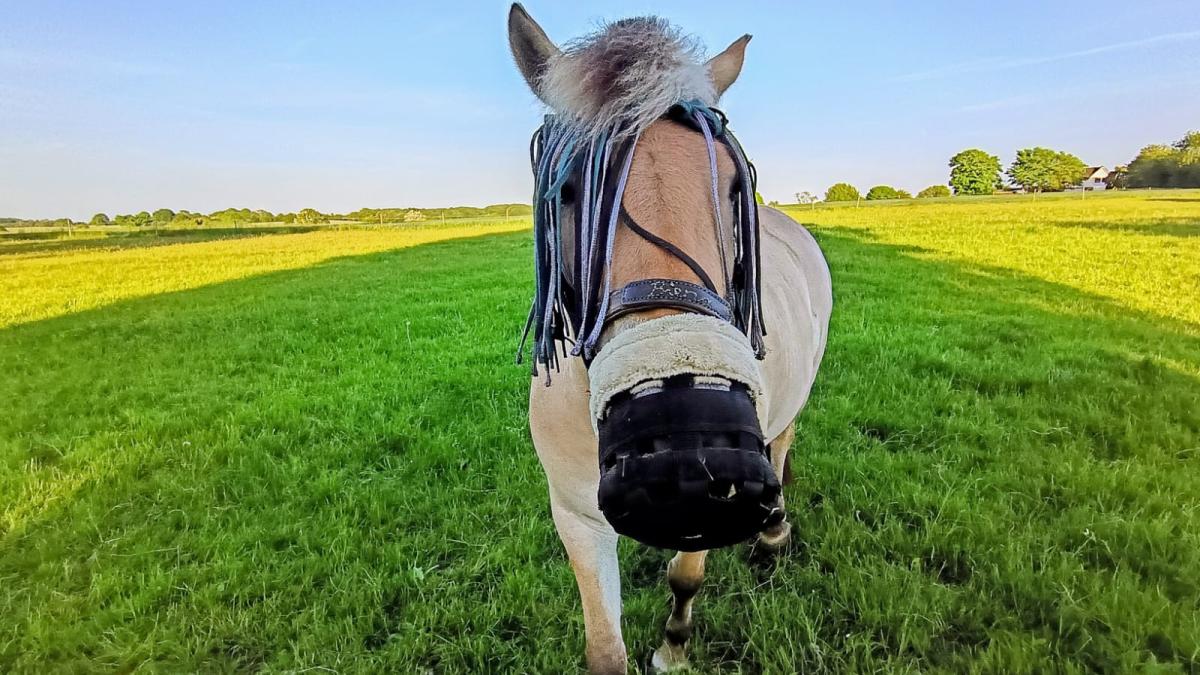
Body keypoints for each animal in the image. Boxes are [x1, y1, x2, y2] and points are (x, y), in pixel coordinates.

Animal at [507, 5, 833, 672]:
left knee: (783, 446)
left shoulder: (715, 498)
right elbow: (604, 648)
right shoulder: (575, 515)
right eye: (569, 188)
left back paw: (773, 534)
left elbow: (685, 577)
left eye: (734, 187)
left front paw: (674, 648)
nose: (682, 439)